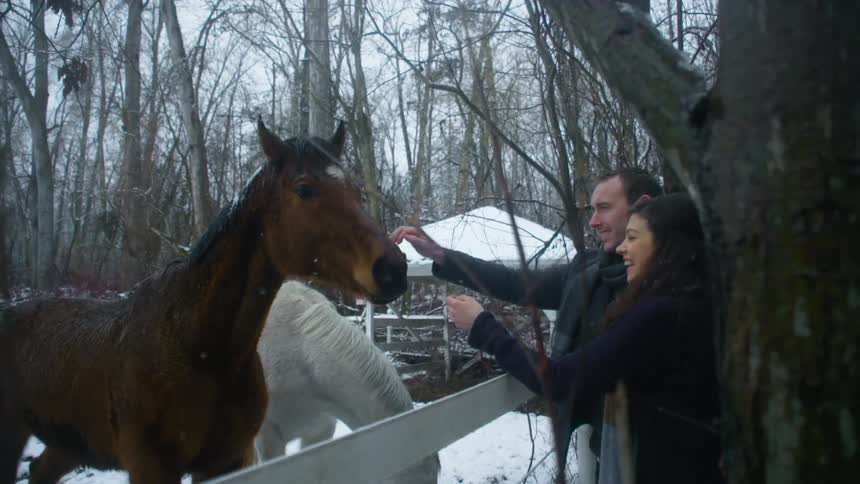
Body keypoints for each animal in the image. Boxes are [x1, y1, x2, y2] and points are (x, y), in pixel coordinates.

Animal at [0, 120, 408, 484]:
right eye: (305, 189)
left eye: (356, 190)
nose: (394, 268)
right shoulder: (237, 449)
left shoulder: (273, 446)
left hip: (72, 443)